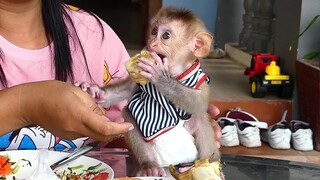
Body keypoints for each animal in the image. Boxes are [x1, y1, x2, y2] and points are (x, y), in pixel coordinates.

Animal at [77, 6, 220, 177]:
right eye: (153, 31)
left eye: (166, 36)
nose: (152, 42)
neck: (174, 72)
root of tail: (175, 161)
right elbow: (126, 90)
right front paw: (94, 91)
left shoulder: (199, 79)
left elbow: (198, 104)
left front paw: (159, 76)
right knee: (129, 115)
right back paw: (149, 165)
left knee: (199, 118)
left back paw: (204, 164)